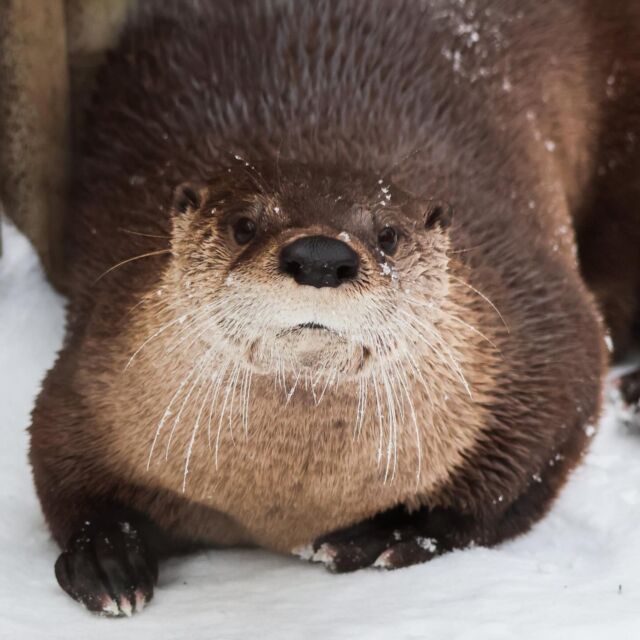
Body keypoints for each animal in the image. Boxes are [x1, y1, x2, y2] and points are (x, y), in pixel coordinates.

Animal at [28, 1, 640, 620]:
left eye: (388, 234)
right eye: (244, 224)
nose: (321, 256)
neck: (286, 506)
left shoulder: (537, 330)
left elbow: (523, 462)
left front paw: (394, 534)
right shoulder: (94, 367)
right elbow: (57, 458)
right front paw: (106, 556)